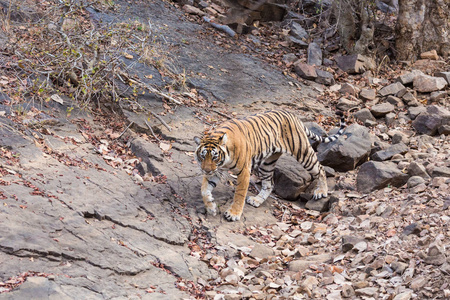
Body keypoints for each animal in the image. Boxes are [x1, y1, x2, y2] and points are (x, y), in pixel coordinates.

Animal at [192, 110, 344, 220]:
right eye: (203, 156)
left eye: (215, 156)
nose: (206, 170)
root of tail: (293, 115)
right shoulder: (217, 170)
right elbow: (204, 190)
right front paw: (211, 207)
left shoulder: (243, 171)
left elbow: (239, 194)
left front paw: (233, 214)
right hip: (267, 163)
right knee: (269, 184)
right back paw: (257, 200)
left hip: (303, 152)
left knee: (320, 169)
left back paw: (321, 192)